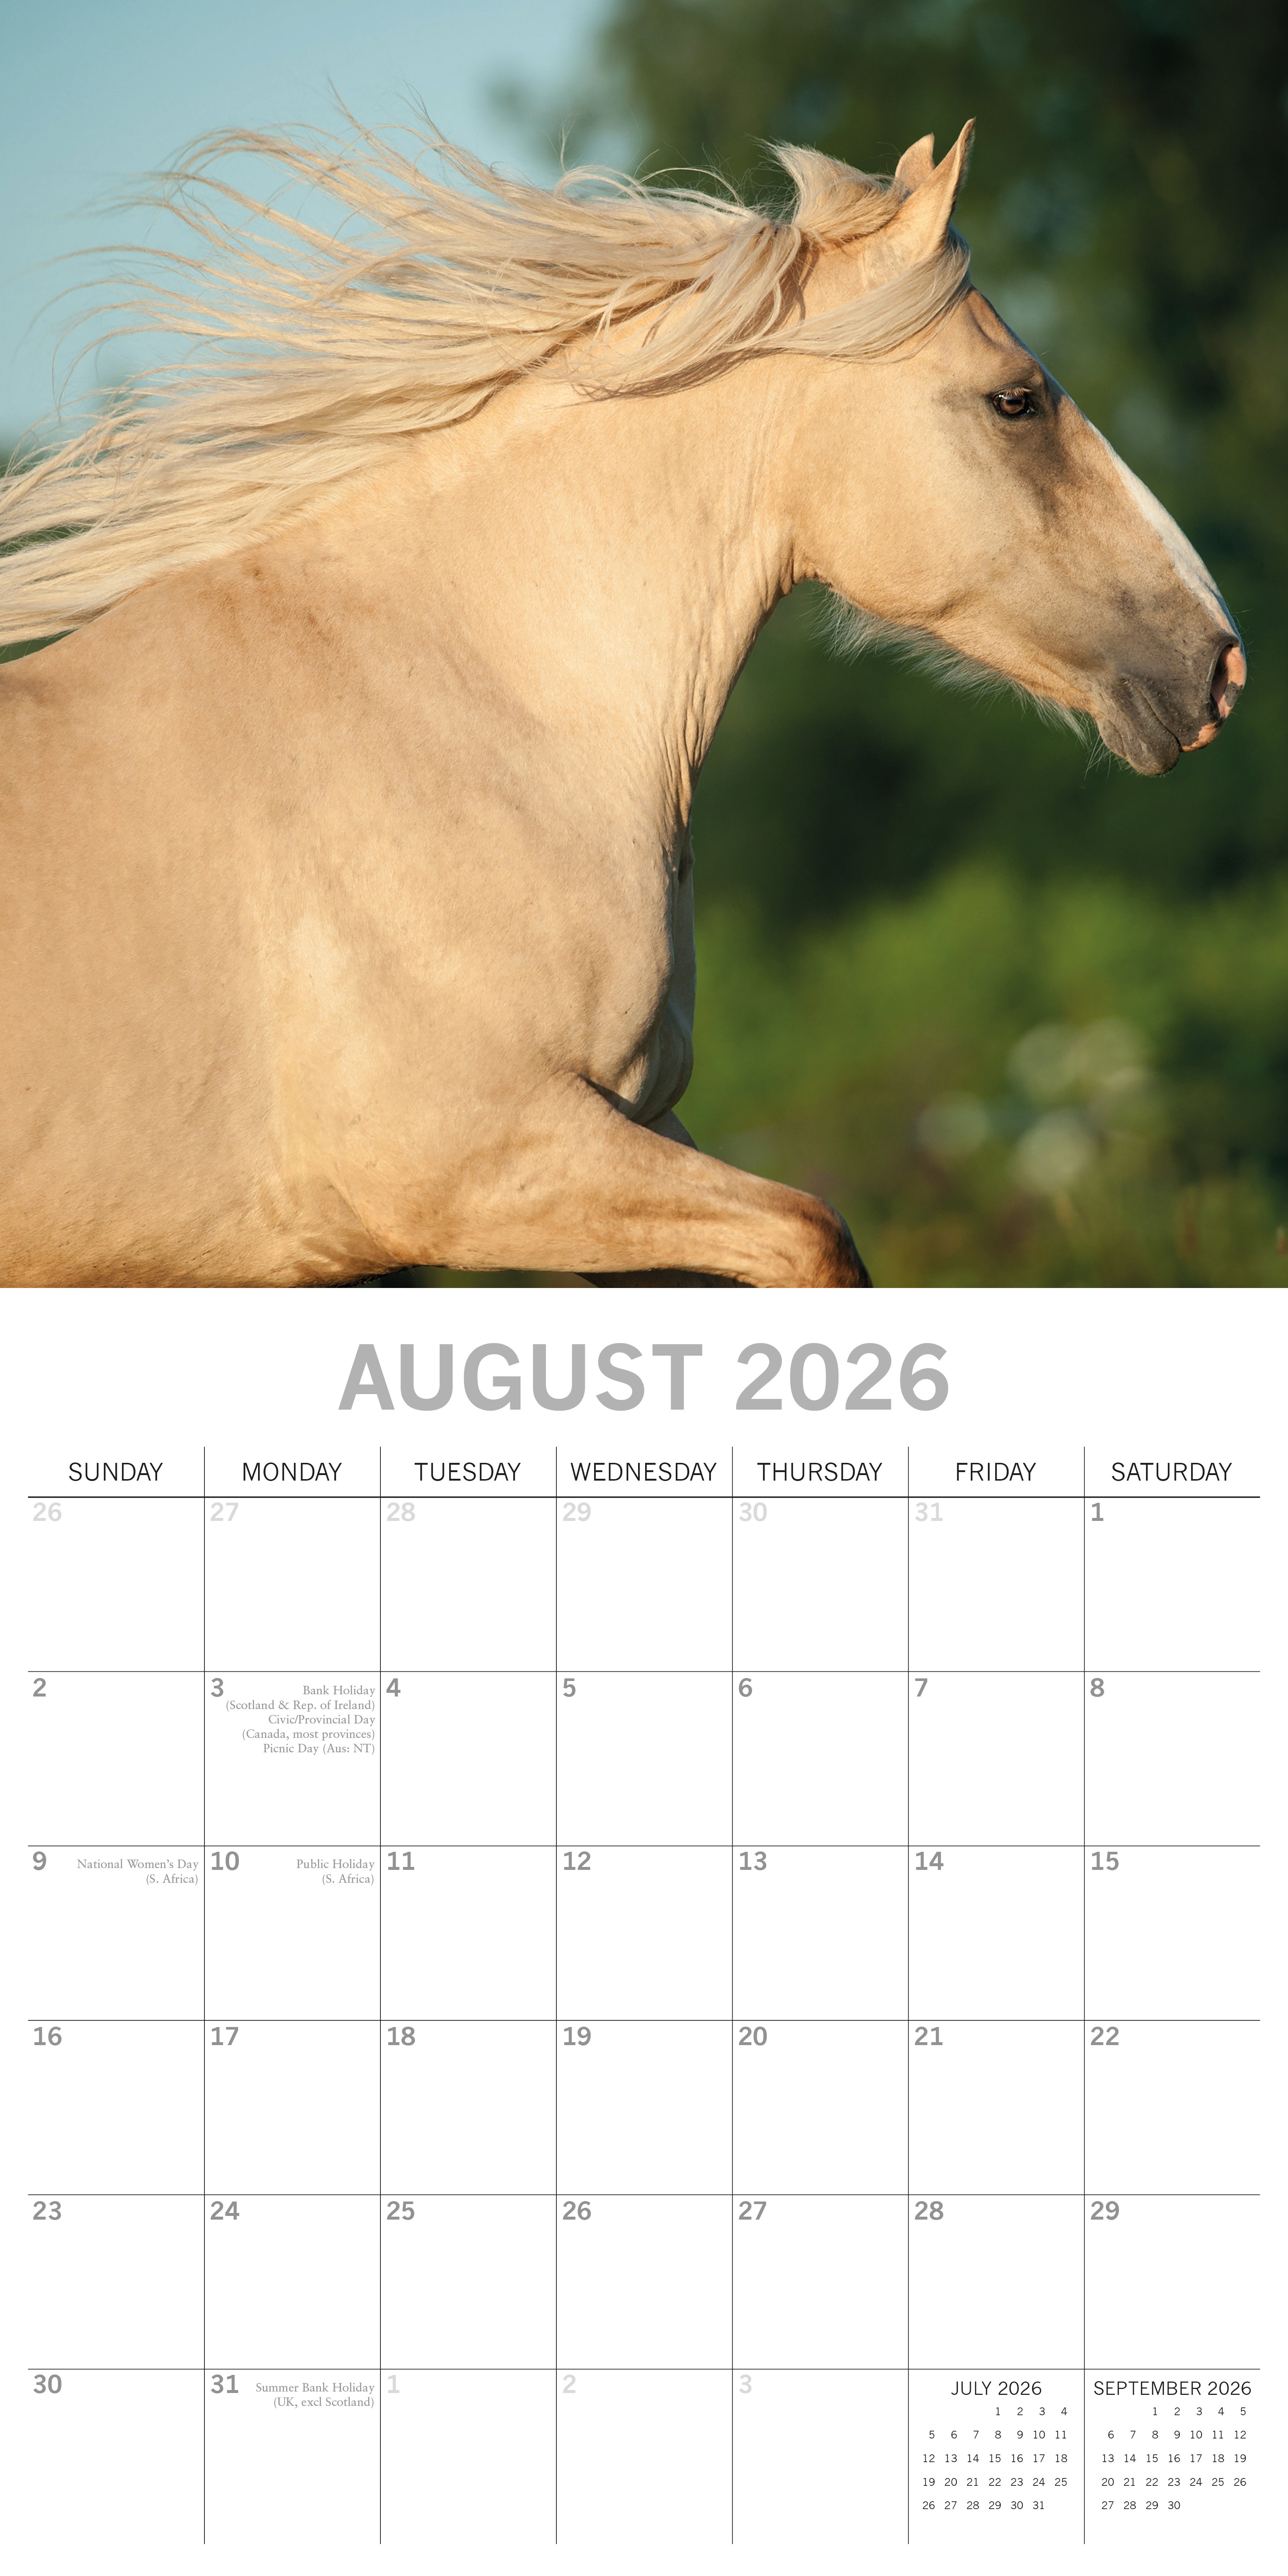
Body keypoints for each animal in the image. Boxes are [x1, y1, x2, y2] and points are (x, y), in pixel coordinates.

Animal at [0, 118, 1244, 1287]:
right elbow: (816, 1236)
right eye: (1016, 401)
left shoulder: (619, 1143)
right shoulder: (482, 1166)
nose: (1219, 667)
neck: (470, 708)